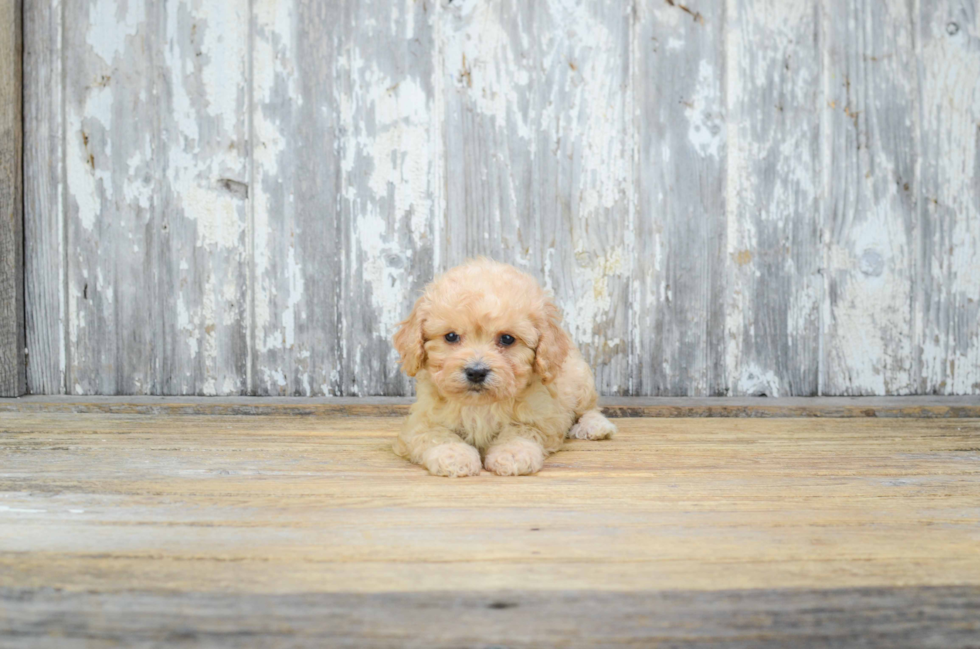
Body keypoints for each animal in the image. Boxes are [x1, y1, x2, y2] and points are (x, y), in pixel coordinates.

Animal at [390, 258, 612, 476]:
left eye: (507, 339)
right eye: (451, 336)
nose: (476, 372)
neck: (480, 405)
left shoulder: (542, 419)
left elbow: (520, 431)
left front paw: (512, 455)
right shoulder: (421, 419)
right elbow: (435, 434)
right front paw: (454, 455)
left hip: (580, 379)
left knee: (589, 408)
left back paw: (595, 426)